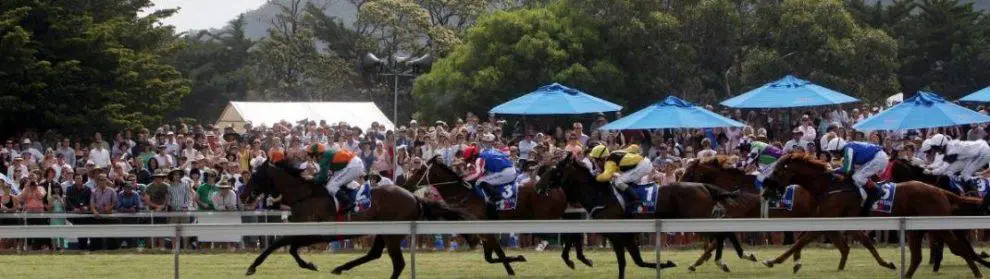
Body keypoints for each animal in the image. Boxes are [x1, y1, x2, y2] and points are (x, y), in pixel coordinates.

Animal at [238, 162, 474, 279]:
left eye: (255, 175)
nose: (243, 195)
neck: (304, 196)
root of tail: (414, 196)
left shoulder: (314, 232)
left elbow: (280, 244)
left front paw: (251, 267)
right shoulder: (304, 232)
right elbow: (290, 248)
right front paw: (310, 264)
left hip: (393, 234)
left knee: (398, 263)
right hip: (384, 232)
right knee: (375, 254)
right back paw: (340, 268)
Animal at [404, 156, 596, 274]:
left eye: (419, 171)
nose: (406, 184)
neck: (463, 194)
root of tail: (557, 188)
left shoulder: (487, 231)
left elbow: (499, 254)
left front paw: (512, 269)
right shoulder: (484, 234)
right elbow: (490, 258)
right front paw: (519, 258)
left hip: (544, 220)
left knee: (568, 233)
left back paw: (572, 259)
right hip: (552, 217)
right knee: (573, 231)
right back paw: (581, 258)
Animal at [536, 154, 736, 278]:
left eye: (555, 171)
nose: (537, 187)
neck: (600, 195)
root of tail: (704, 186)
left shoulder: (618, 236)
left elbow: (628, 262)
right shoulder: (616, 233)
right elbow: (635, 261)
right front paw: (577, 259)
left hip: (697, 219)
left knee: (721, 235)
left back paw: (720, 262)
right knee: (722, 234)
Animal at [680, 158, 900, 274]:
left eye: (688, 174)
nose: (678, 185)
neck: (736, 186)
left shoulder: (735, 216)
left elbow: (716, 240)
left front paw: (701, 262)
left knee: (814, 239)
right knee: (847, 242)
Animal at [764, 154, 988, 278]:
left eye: (776, 171)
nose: (765, 190)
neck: (830, 185)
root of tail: (940, 191)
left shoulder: (828, 218)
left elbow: (801, 239)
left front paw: (774, 260)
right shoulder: (844, 222)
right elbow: (865, 243)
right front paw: (887, 263)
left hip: (938, 225)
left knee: (959, 248)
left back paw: (978, 273)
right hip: (917, 228)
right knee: (918, 256)